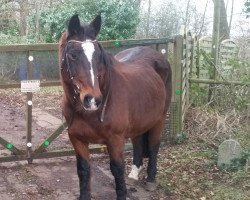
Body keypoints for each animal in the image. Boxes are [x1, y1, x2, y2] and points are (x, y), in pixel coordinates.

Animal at [58, 14, 172, 200]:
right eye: (73, 55)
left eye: (98, 56)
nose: (93, 100)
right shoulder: (77, 139)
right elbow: (83, 170)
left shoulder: (115, 139)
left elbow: (117, 170)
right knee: (138, 142)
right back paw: (134, 174)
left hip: (159, 119)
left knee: (154, 146)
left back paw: (150, 180)